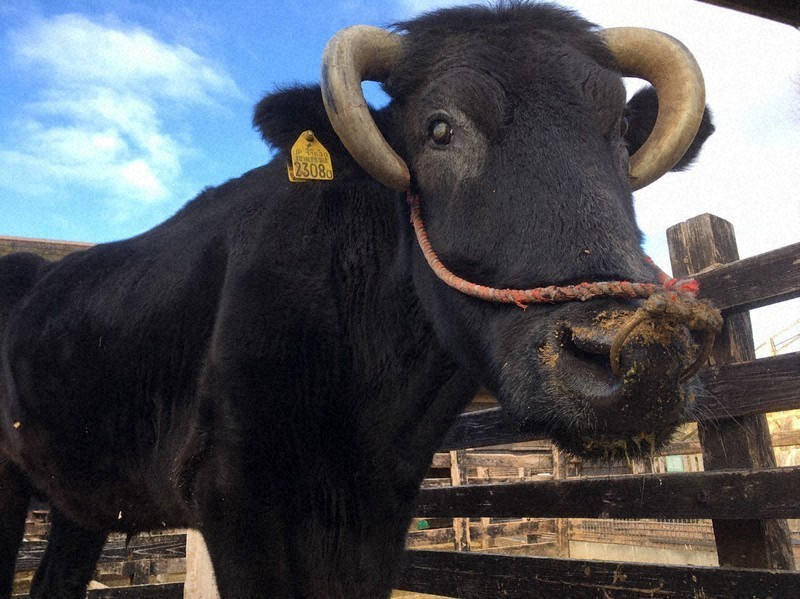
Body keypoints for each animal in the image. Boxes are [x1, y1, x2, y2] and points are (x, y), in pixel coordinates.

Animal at [1, 3, 715, 598]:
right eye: (438, 129)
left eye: (619, 126)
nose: (642, 352)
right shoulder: (236, 498)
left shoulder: (379, 507)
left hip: (81, 498)